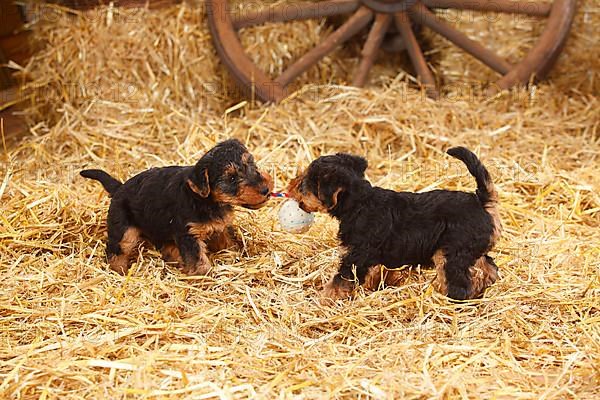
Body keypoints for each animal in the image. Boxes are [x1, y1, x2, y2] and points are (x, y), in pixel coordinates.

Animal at [81, 138, 274, 276]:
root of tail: (119, 188)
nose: (265, 189)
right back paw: (119, 272)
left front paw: (233, 255)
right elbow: (198, 260)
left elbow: (227, 243)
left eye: (251, 164)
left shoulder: (220, 228)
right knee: (115, 251)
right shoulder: (188, 234)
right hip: (124, 231)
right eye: (232, 178)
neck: (205, 200)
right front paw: (205, 278)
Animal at [286, 147, 502, 300]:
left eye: (304, 184)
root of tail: (481, 201)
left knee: (460, 284)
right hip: (470, 251)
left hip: (450, 255)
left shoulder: (355, 258)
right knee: (489, 267)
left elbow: (338, 283)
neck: (359, 203)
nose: (289, 186)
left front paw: (322, 300)